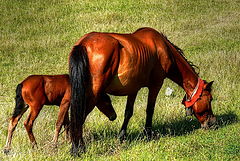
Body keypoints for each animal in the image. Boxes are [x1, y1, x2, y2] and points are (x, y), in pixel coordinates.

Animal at [68, 27, 217, 155]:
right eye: (210, 99)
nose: (213, 123)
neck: (163, 48)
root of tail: (84, 43)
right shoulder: (156, 85)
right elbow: (150, 109)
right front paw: (148, 134)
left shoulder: (133, 89)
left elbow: (128, 112)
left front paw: (122, 137)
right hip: (92, 94)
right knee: (79, 116)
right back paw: (77, 149)